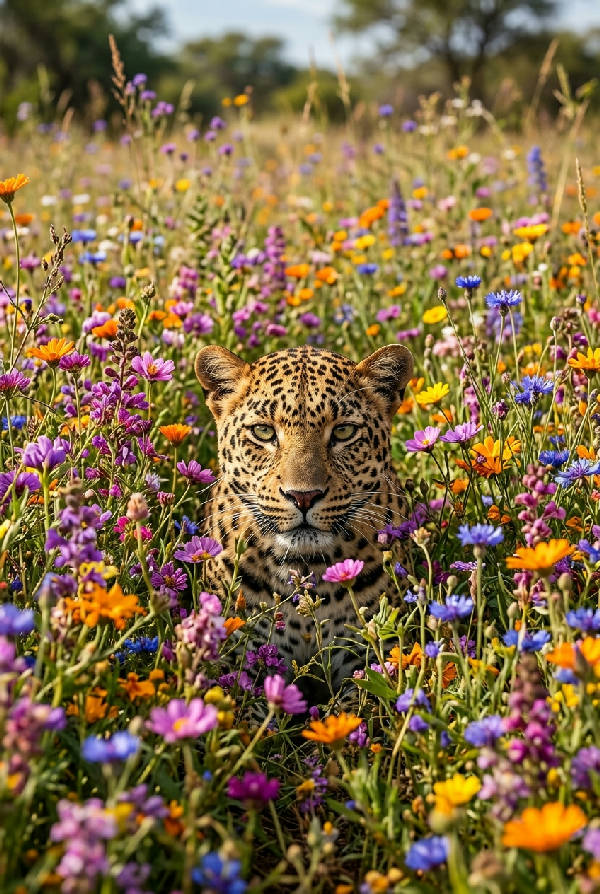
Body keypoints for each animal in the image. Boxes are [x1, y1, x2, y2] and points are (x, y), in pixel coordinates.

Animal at [195, 342, 414, 700]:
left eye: (343, 431)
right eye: (264, 432)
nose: (304, 496)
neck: (305, 567)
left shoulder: (370, 657)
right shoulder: (241, 661)